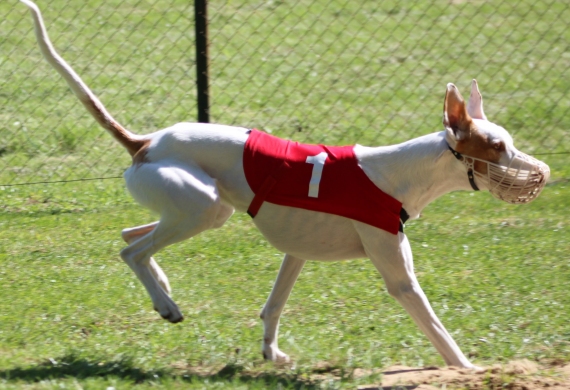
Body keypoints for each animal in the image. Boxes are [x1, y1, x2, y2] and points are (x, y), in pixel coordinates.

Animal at [20, 0, 548, 368]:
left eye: (508, 141)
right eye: (496, 146)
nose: (541, 172)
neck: (397, 173)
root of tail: (145, 142)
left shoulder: (297, 252)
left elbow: (273, 306)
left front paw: (271, 355)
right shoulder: (399, 276)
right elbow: (435, 325)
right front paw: (467, 368)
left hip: (195, 208)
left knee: (133, 237)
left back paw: (163, 291)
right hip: (203, 207)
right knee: (132, 250)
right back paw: (166, 304)